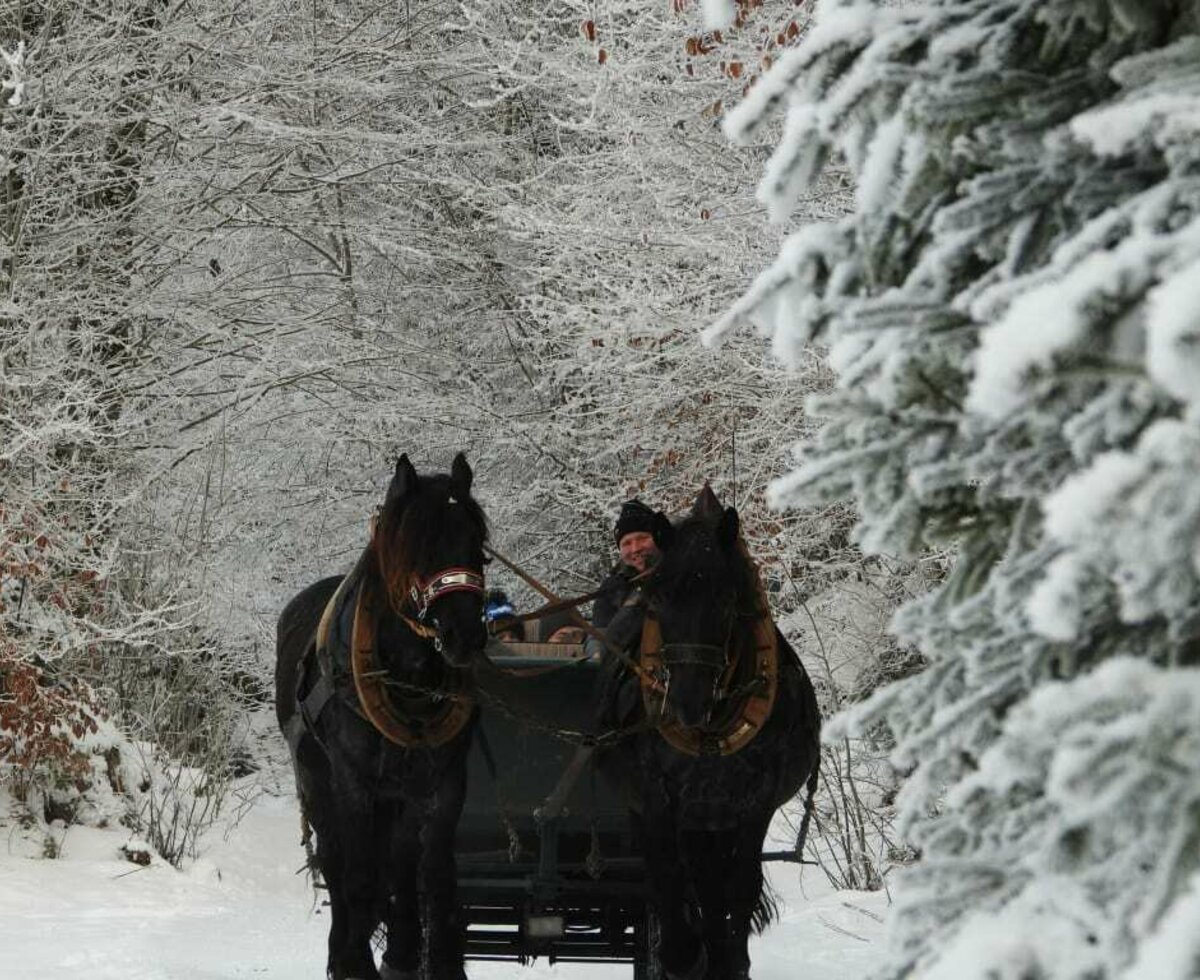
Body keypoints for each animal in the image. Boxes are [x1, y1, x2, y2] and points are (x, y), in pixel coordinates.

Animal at [274, 455, 487, 978]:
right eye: (418, 544)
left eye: (477, 542)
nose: (465, 636)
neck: (407, 677)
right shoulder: (353, 781)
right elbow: (359, 878)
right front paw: (356, 962)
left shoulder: (442, 782)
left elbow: (432, 875)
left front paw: (429, 961)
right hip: (318, 781)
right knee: (336, 863)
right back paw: (342, 951)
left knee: (398, 865)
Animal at [595, 489, 820, 978]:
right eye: (658, 599)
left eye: (725, 598)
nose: (687, 703)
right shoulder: (658, 803)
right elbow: (669, 885)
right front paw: (686, 954)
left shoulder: (753, 804)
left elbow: (738, 889)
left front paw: (728, 959)